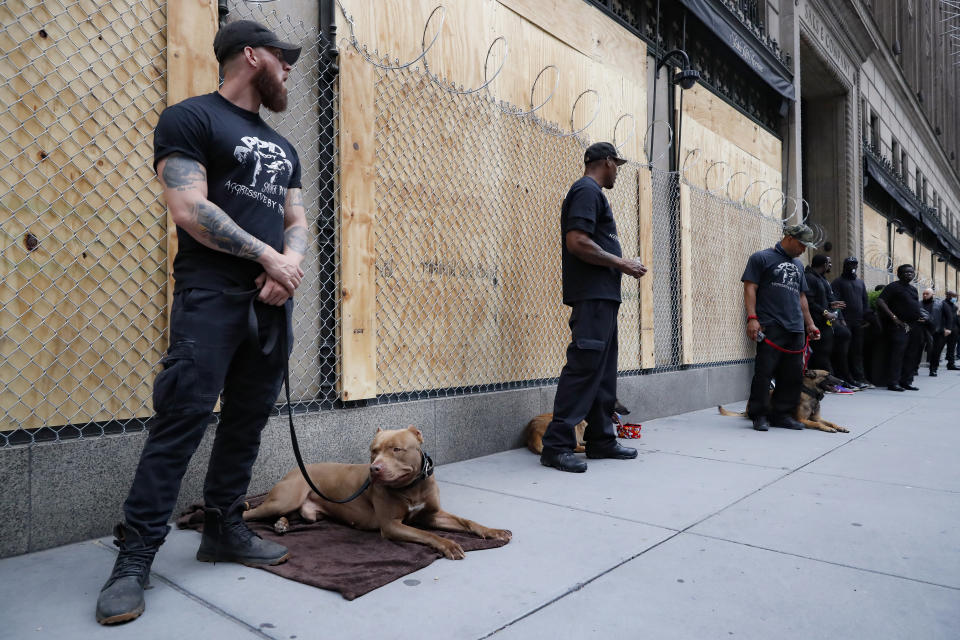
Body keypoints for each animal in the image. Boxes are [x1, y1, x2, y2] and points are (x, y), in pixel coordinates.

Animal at [244, 428, 512, 556]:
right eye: (373, 451)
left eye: (396, 449)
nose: (375, 468)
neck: (412, 486)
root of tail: (294, 469)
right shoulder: (392, 525)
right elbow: (426, 534)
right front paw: (448, 544)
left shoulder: (432, 514)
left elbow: (467, 522)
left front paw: (494, 531)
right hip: (285, 498)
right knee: (252, 512)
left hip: (308, 512)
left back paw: (282, 524)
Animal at [716, 368, 852, 432]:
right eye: (827, 375)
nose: (842, 381)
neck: (811, 394)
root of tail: (746, 409)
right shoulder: (802, 419)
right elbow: (817, 424)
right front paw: (827, 428)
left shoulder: (817, 417)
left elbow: (830, 422)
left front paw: (839, 427)